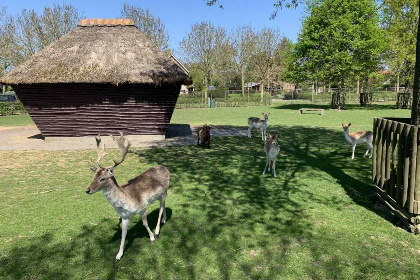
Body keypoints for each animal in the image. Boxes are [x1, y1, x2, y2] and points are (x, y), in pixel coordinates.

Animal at [84, 132, 170, 262]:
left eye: (102, 179)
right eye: (93, 176)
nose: (88, 190)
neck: (126, 200)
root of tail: (166, 168)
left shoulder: (143, 208)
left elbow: (145, 224)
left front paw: (151, 238)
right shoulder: (124, 216)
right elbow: (123, 233)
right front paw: (118, 255)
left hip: (164, 191)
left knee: (160, 208)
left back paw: (157, 231)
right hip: (161, 195)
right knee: (164, 204)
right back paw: (164, 219)